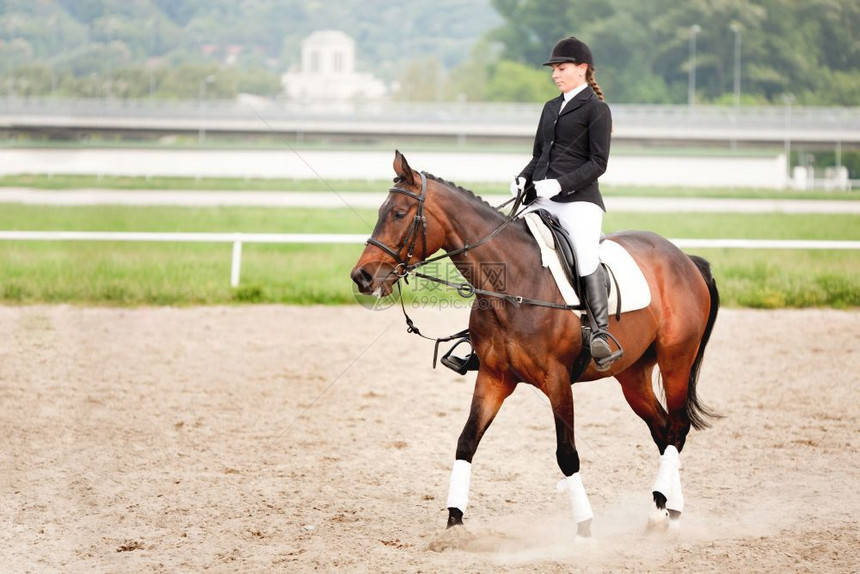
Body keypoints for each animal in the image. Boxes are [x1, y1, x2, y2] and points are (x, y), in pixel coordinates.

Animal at [350, 152, 720, 540]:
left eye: (398, 214)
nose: (362, 277)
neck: (514, 283)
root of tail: (686, 259)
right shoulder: (494, 377)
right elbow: (466, 442)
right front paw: (455, 521)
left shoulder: (557, 380)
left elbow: (567, 454)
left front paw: (584, 528)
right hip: (632, 375)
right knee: (662, 431)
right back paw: (669, 509)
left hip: (676, 360)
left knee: (677, 428)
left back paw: (659, 510)